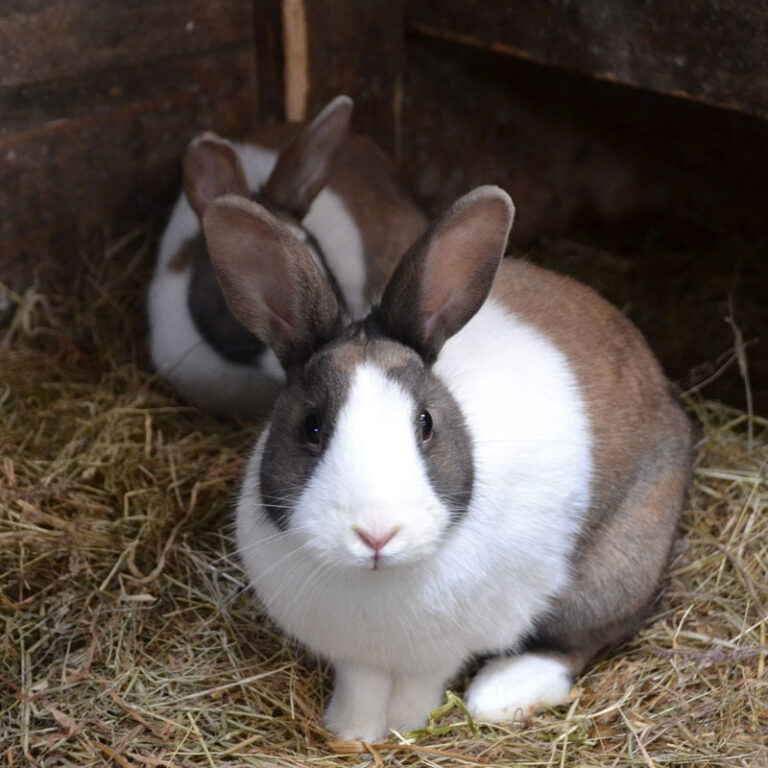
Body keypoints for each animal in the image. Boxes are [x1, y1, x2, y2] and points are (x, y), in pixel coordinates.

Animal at [201, 185, 692, 741]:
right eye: (312, 426)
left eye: (425, 423)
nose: (376, 534)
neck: (377, 580)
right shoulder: (356, 658)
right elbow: (362, 685)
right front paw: (352, 733)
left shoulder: (441, 653)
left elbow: (422, 685)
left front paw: (405, 727)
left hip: (619, 567)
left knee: (580, 640)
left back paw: (499, 694)